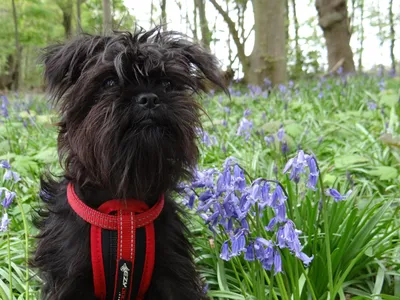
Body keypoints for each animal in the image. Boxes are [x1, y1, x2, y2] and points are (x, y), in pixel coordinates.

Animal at [31, 27, 225, 298]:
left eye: (167, 83)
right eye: (110, 82)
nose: (149, 98)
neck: (124, 206)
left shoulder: (173, 273)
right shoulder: (70, 276)